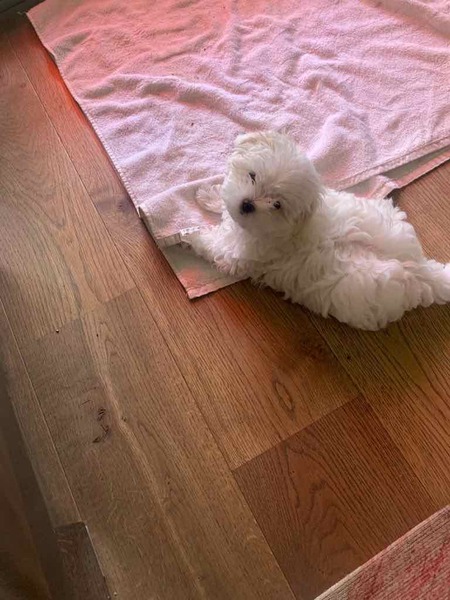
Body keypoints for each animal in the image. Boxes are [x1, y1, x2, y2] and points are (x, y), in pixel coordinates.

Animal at [181, 131, 450, 330]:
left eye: (276, 205)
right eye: (252, 176)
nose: (247, 205)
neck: (291, 228)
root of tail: (421, 269)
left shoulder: (241, 252)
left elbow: (214, 245)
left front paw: (188, 234)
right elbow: (224, 205)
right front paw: (209, 195)